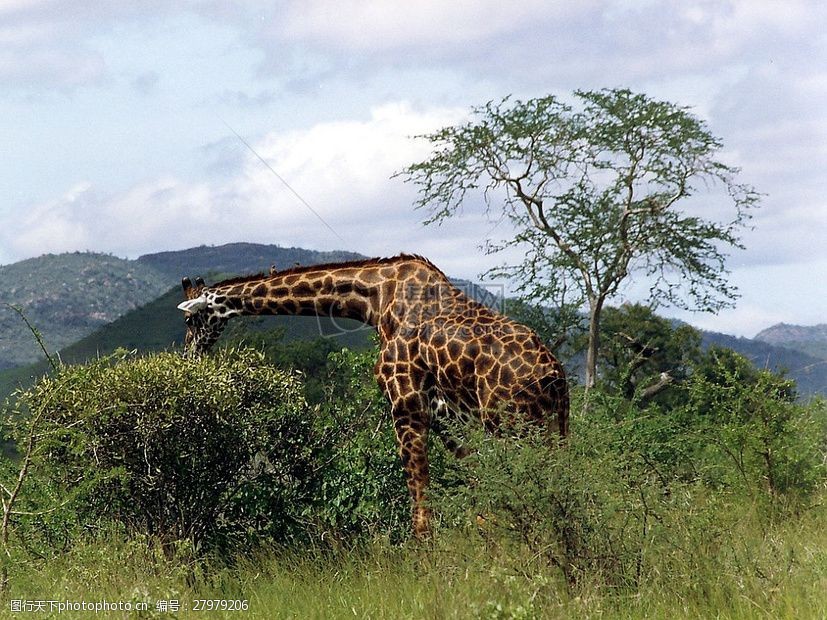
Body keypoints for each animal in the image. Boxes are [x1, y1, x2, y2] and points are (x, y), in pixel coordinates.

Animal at [178, 254, 568, 540]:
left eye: (190, 322)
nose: (189, 355)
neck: (375, 299)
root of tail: (553, 376)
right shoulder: (445, 417)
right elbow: (478, 494)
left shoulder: (406, 402)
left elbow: (422, 505)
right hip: (550, 426)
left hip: (511, 424)